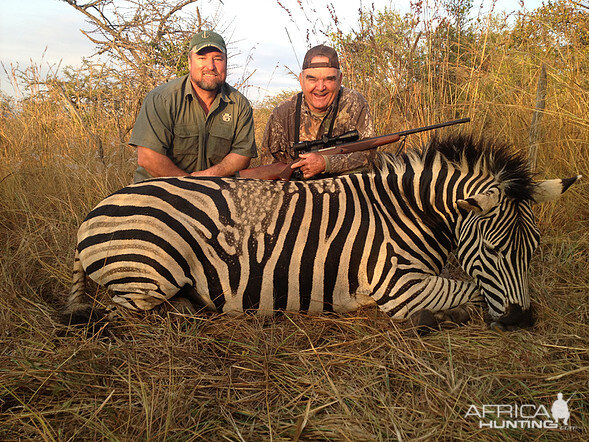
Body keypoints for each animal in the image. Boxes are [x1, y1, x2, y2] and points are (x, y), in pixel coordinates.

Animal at [64, 135, 580, 328]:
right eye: (492, 249)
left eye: (534, 250)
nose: (523, 320)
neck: (404, 213)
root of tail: (93, 212)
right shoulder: (400, 286)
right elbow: (469, 290)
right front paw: (439, 319)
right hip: (150, 276)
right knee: (128, 312)